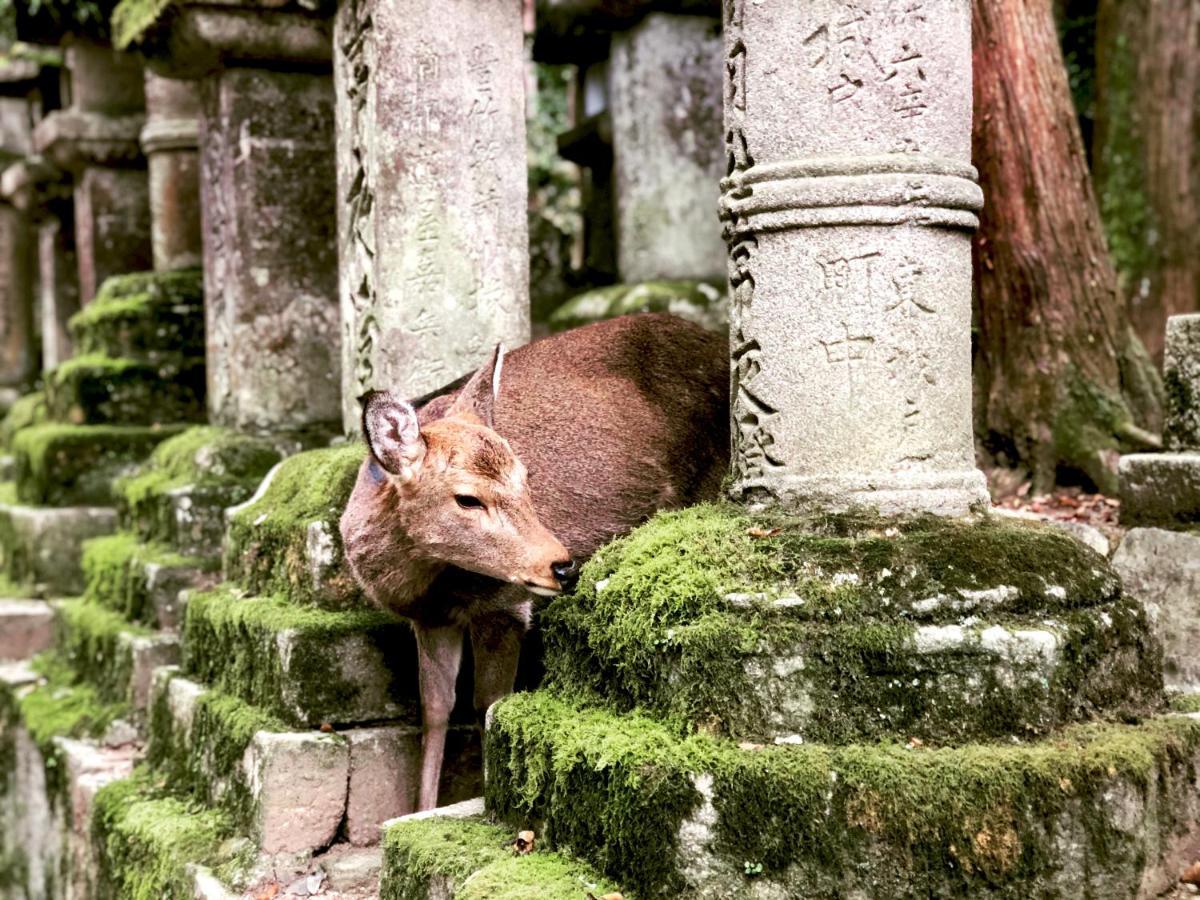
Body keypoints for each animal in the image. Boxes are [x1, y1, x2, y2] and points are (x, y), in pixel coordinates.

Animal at [343, 314, 724, 816]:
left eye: (526, 480)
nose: (562, 566)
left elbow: (489, 704)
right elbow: (435, 709)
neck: (422, 585)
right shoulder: (429, 619)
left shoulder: (505, 605)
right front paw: (420, 810)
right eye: (467, 498)